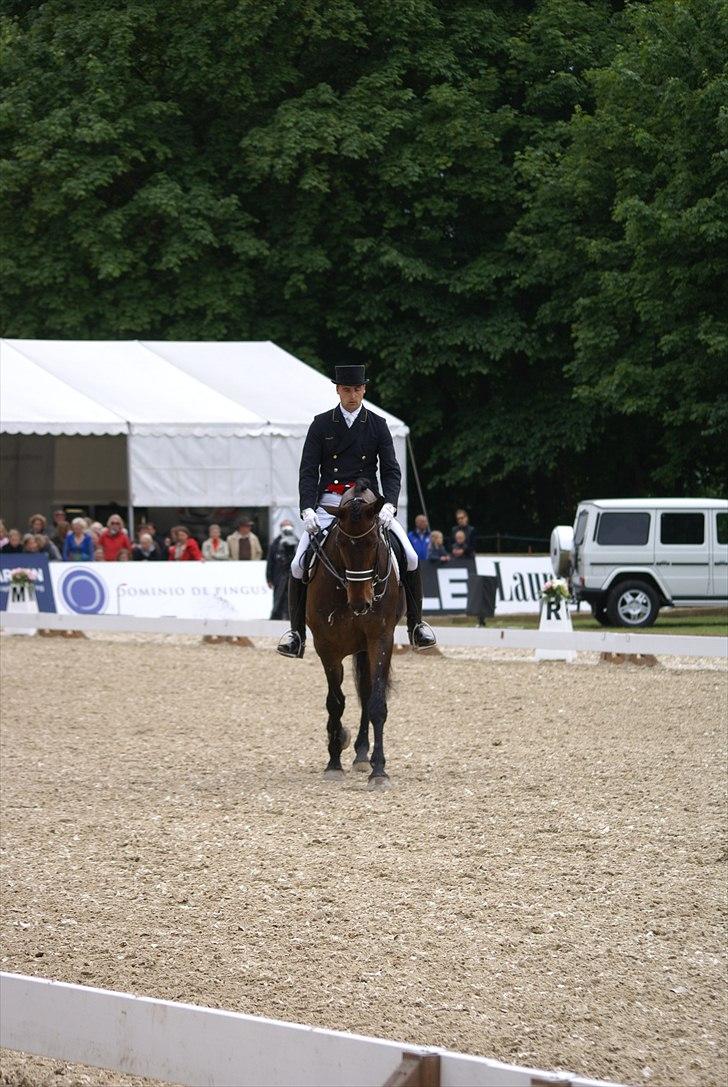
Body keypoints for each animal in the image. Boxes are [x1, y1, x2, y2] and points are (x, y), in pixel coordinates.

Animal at [308, 480, 404, 786]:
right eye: (340, 543)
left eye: (374, 542)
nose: (362, 603)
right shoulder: (326, 646)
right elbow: (335, 703)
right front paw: (334, 761)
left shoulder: (381, 639)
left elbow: (376, 703)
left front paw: (379, 771)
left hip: (367, 647)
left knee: (367, 692)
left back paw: (364, 755)